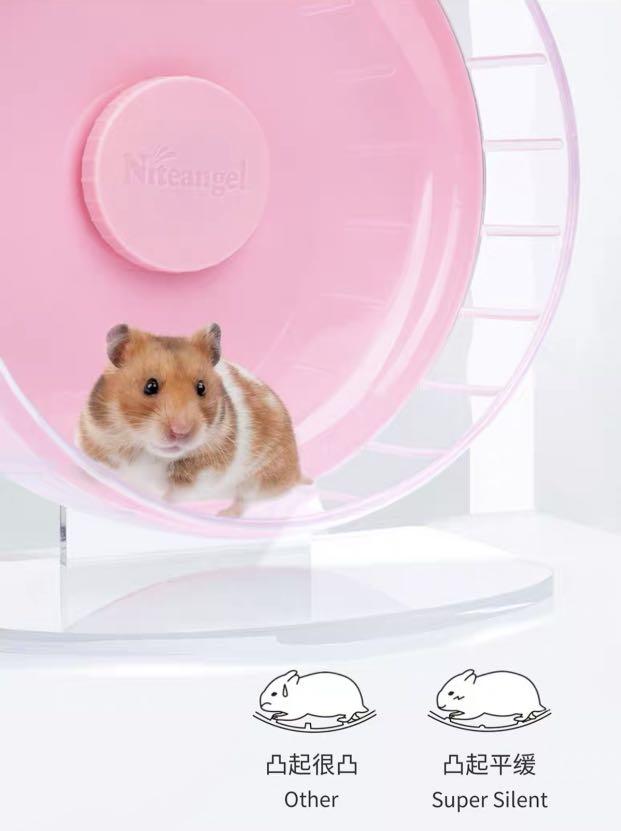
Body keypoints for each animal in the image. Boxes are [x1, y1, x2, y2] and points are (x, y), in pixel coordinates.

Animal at [76, 323, 310, 517]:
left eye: (201, 387)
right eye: (150, 386)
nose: (181, 431)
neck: (150, 453)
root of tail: (296, 471)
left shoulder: (205, 473)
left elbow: (173, 494)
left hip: (259, 478)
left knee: (244, 501)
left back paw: (224, 515)